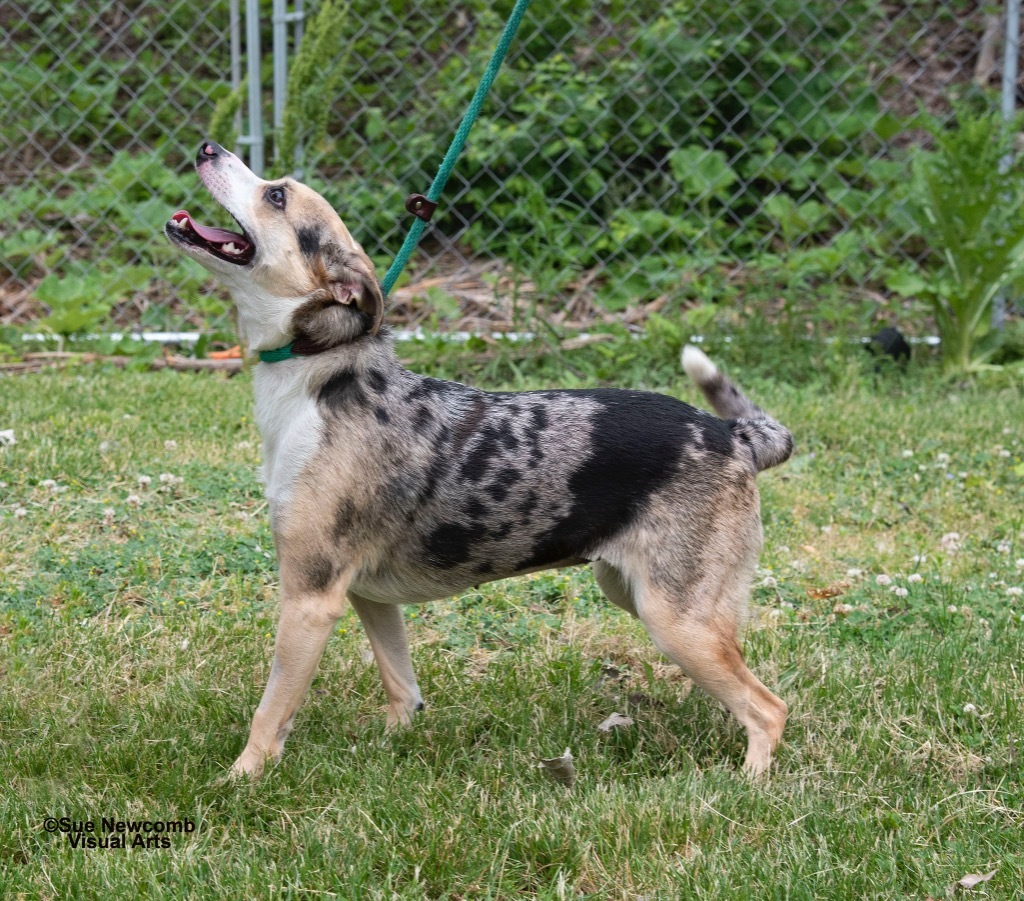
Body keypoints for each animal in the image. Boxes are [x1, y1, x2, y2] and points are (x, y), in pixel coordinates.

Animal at [165, 144, 790, 778]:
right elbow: (402, 687)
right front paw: (392, 746)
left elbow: (270, 713)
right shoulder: (369, 597)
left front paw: (239, 780)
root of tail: (732, 434)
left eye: (276, 195)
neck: (316, 376)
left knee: (769, 708)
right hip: (636, 593)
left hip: (675, 620)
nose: (208, 149)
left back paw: (747, 782)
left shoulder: (309, 599)